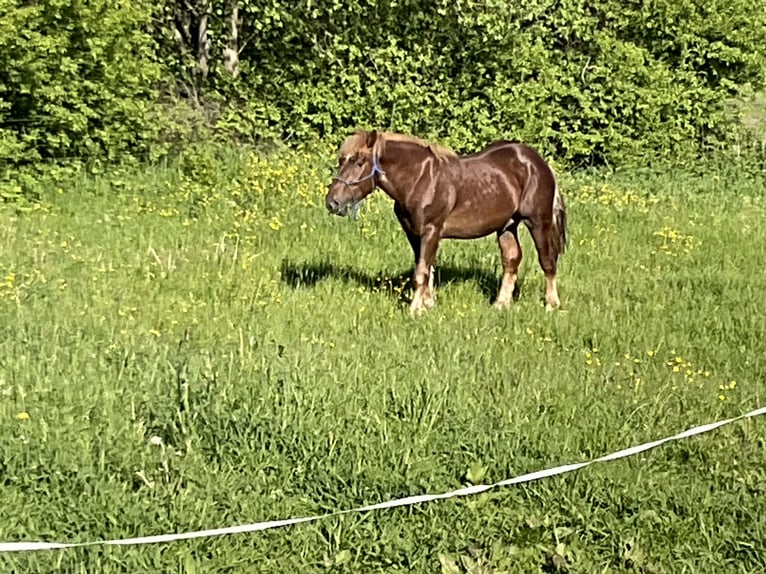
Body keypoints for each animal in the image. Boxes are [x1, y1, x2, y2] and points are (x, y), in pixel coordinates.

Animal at [325, 129, 567, 314]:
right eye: (341, 160)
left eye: (359, 162)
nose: (332, 202)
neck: (420, 179)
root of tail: (538, 162)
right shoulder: (414, 233)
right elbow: (426, 268)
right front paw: (428, 305)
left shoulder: (432, 230)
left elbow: (421, 272)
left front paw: (415, 310)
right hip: (507, 225)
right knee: (512, 259)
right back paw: (500, 304)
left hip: (538, 222)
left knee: (547, 261)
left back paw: (551, 305)